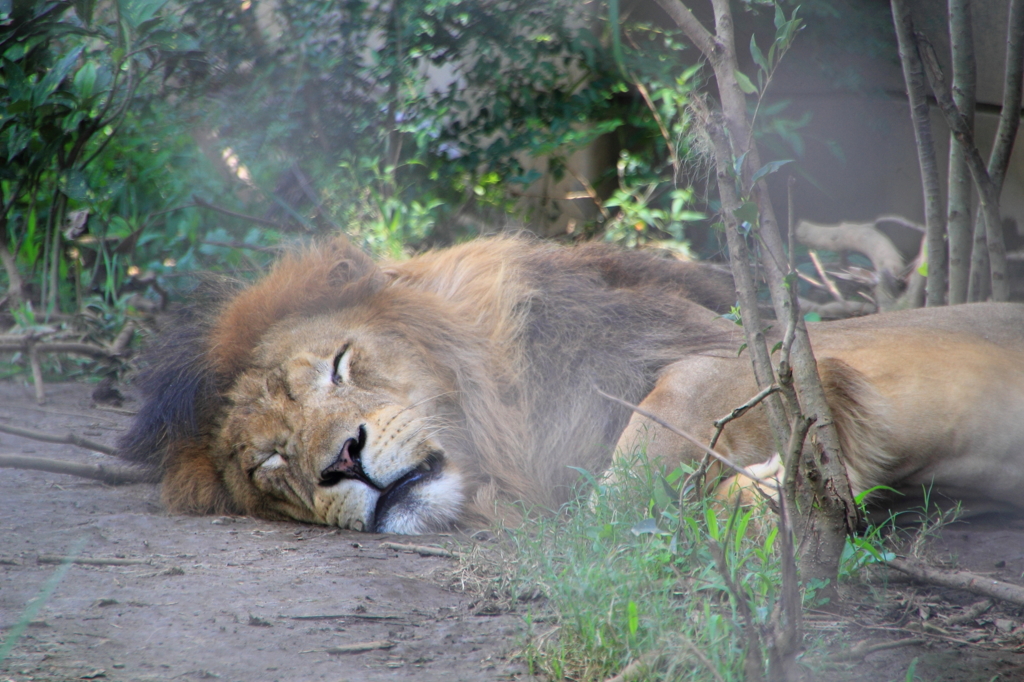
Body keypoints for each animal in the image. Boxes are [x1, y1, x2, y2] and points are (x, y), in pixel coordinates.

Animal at [119, 235, 1024, 532]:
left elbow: (651, 435)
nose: (342, 459)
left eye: (340, 364)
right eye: (269, 464)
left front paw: (763, 496)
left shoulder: (761, 354)